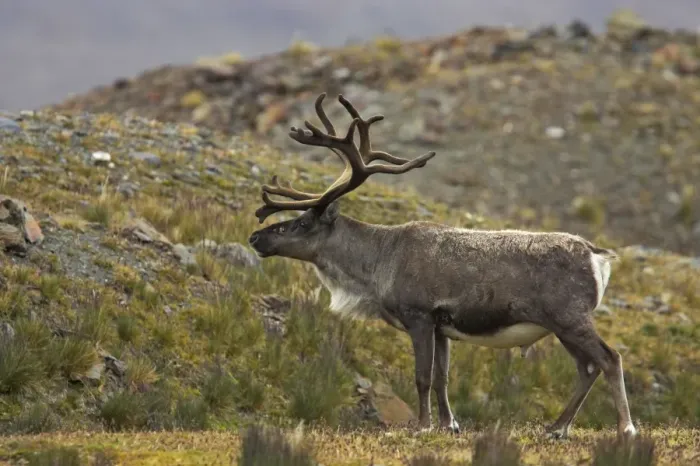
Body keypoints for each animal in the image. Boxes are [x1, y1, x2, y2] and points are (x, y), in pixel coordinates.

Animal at [247, 92, 637, 440]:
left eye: (301, 224)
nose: (255, 237)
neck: (376, 264)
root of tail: (596, 254)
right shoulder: (441, 326)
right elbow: (442, 378)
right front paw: (450, 424)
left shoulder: (419, 316)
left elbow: (422, 376)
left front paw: (422, 426)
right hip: (560, 325)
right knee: (587, 368)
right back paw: (556, 428)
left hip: (570, 317)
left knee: (610, 358)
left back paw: (625, 428)